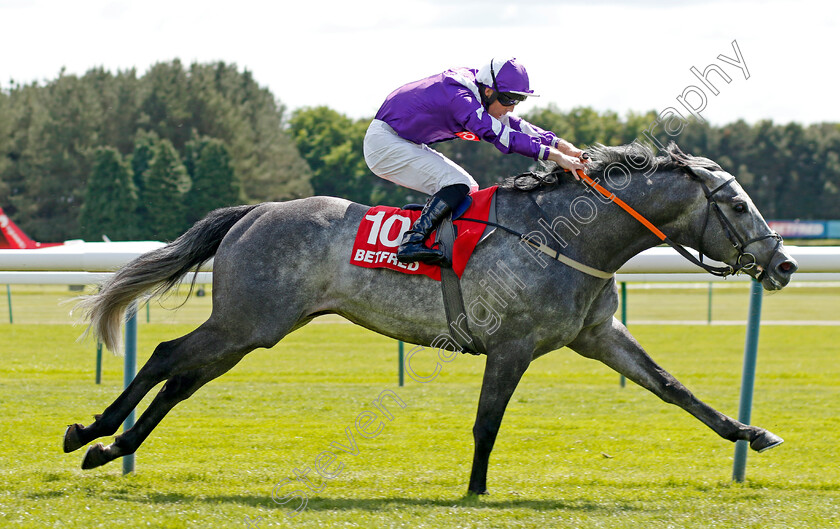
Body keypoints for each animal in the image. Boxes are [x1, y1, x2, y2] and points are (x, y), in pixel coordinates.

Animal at [62, 141, 796, 496]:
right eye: (737, 204)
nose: (784, 263)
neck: (568, 236)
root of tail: (256, 210)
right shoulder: (512, 345)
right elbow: (487, 422)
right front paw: (475, 491)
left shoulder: (598, 336)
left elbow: (674, 387)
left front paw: (751, 432)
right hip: (248, 322)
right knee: (165, 356)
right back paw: (89, 432)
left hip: (252, 329)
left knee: (183, 379)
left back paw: (111, 447)